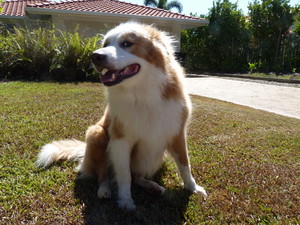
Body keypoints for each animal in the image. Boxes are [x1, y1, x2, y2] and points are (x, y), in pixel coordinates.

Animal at [36, 22, 207, 210]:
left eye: (127, 43)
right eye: (105, 44)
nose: (95, 56)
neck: (143, 92)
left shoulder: (177, 134)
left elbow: (185, 164)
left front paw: (192, 188)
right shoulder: (121, 140)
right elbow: (124, 175)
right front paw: (125, 201)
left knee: (137, 176)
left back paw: (151, 185)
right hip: (96, 134)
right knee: (104, 174)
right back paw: (104, 190)